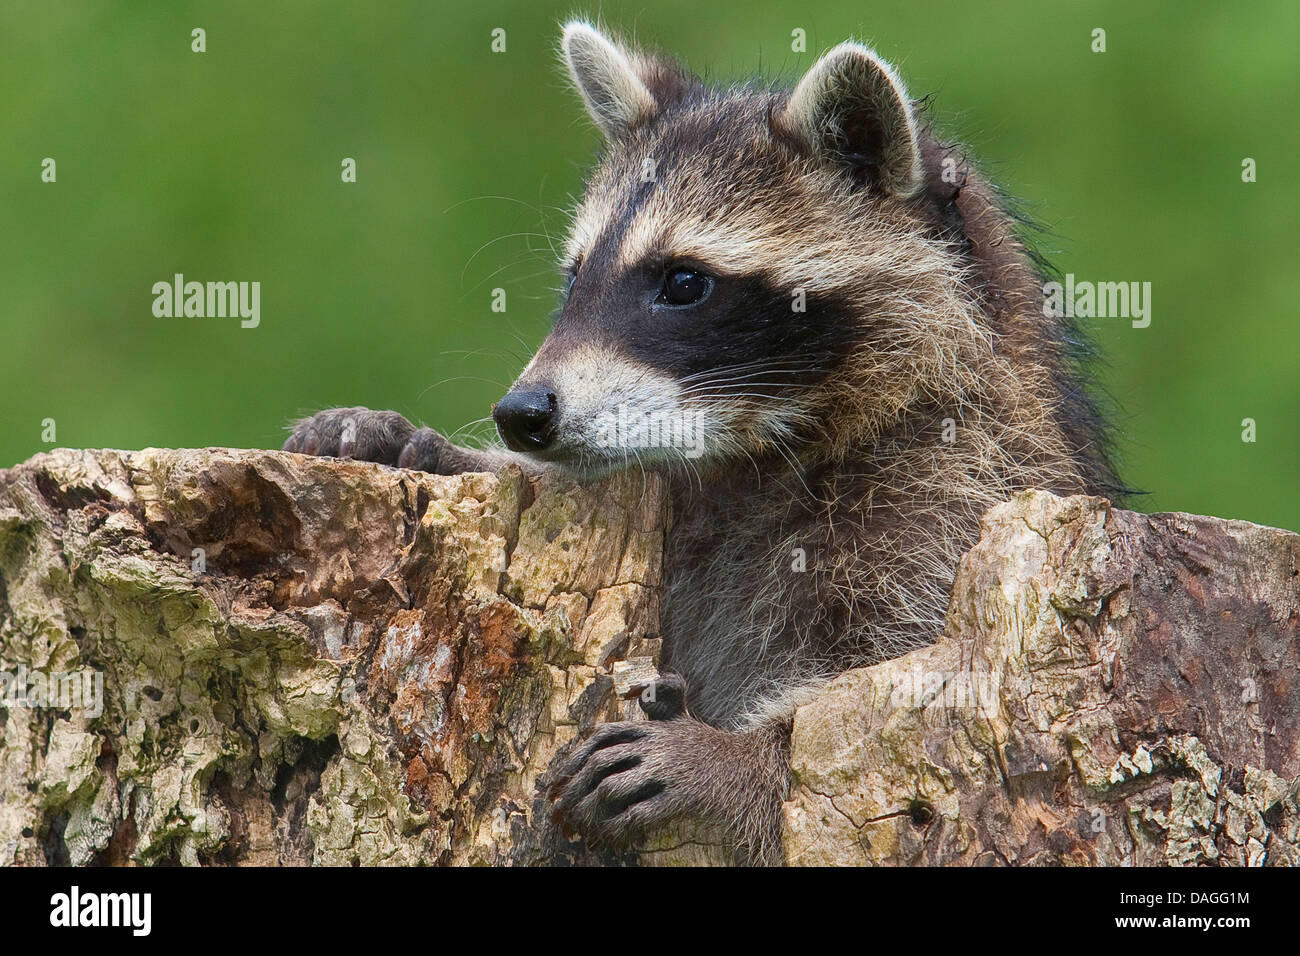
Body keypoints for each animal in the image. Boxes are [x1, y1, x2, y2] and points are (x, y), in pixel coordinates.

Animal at [282, 22, 1123, 864]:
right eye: (575, 278)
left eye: (683, 283)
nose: (522, 414)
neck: (755, 447)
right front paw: (445, 450)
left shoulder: (957, 488)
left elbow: (895, 689)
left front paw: (736, 760)